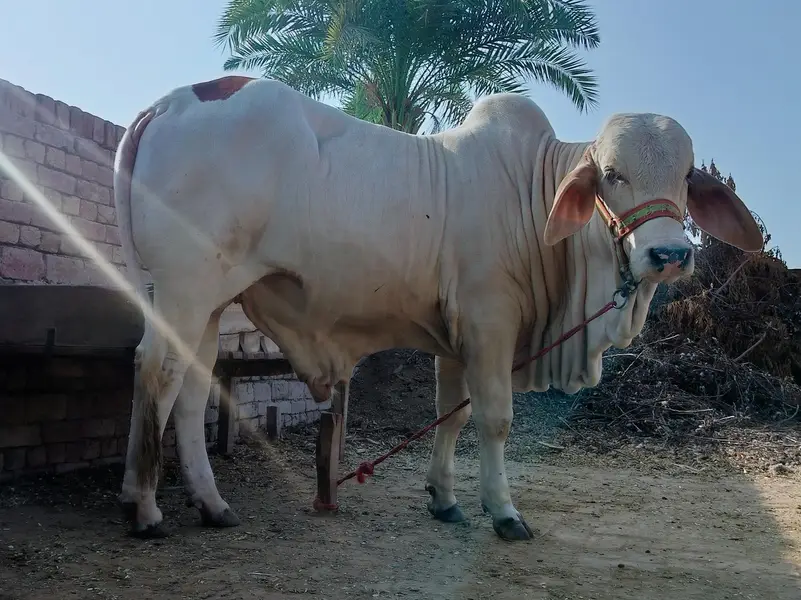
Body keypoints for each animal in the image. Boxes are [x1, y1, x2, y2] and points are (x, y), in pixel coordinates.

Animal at [113, 75, 763, 541]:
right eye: (611, 173)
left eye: (685, 175)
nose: (669, 254)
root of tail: (167, 104)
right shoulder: (489, 323)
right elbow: (495, 419)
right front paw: (504, 512)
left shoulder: (455, 340)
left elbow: (451, 416)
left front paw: (445, 500)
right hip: (185, 286)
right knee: (157, 371)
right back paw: (144, 509)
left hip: (212, 301)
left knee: (193, 388)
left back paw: (211, 504)